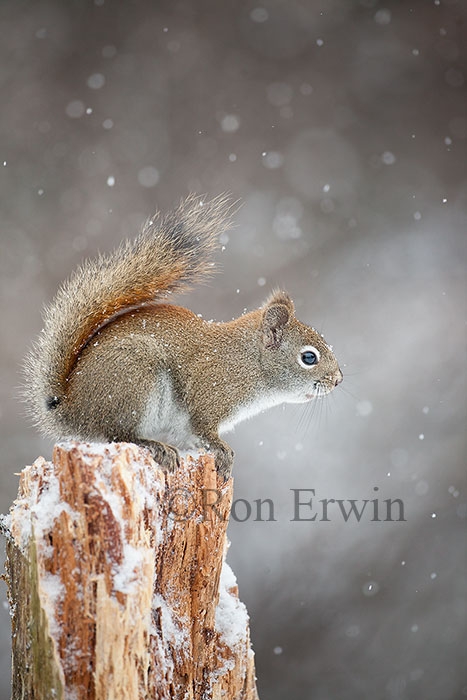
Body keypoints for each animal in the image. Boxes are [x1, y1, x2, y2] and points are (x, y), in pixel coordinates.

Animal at [23, 194, 343, 480]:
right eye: (309, 357)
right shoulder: (209, 393)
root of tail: (73, 411)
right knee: (118, 434)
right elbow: (205, 429)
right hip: (133, 379)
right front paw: (223, 451)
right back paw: (155, 446)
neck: (249, 362)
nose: (338, 380)